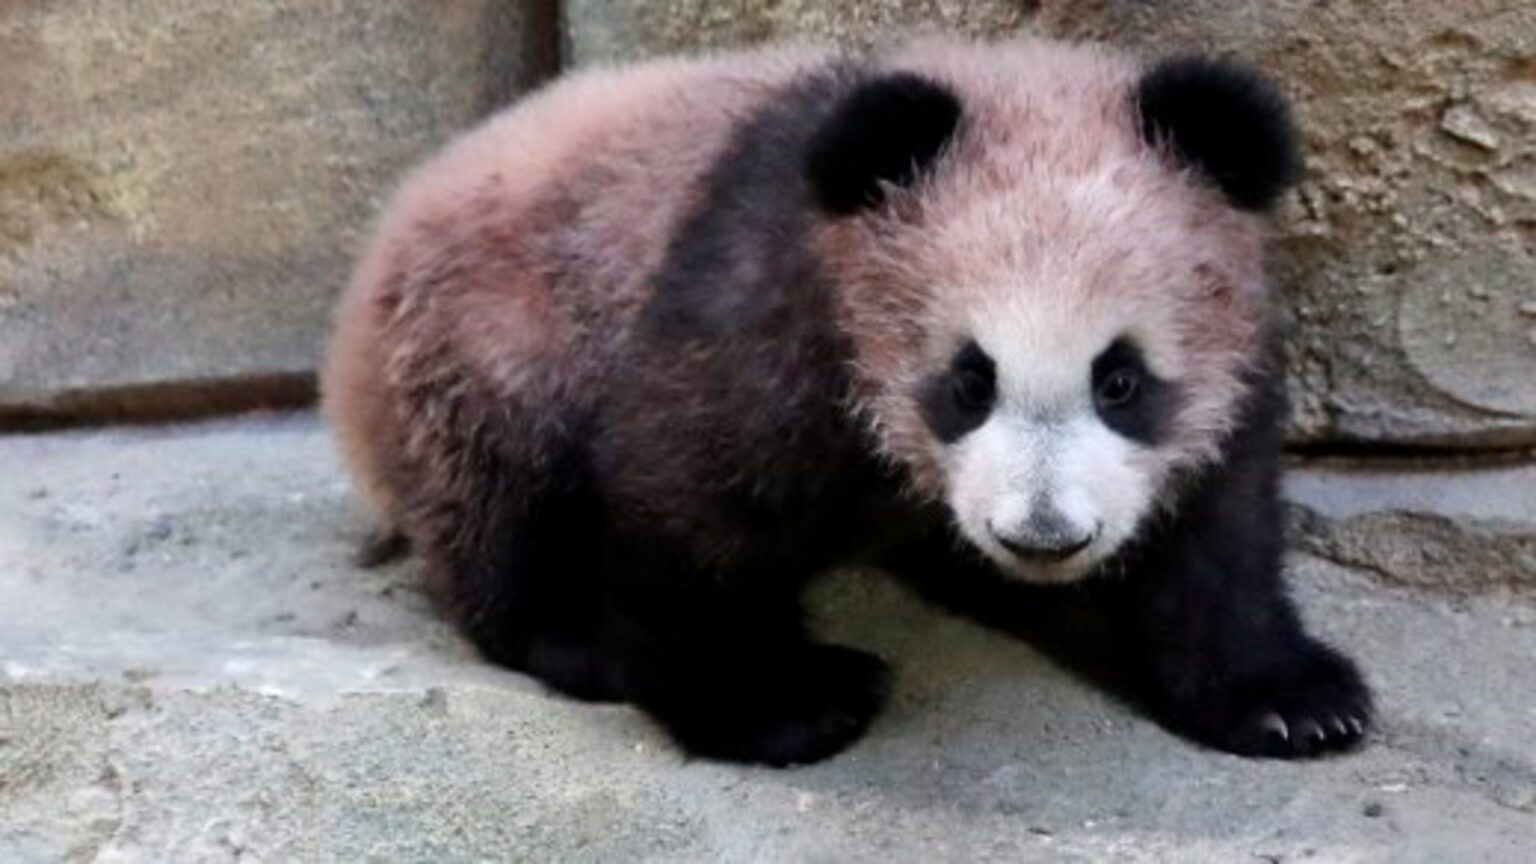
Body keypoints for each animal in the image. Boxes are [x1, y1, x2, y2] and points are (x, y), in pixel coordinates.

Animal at [323, 37, 1372, 766]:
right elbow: (692, 502)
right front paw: (778, 706)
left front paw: (1292, 703)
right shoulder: (769, 298)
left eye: (1119, 380)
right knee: (507, 499)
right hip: (493, 335)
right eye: (968, 380)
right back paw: (578, 634)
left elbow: (1215, 533)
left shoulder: (1226, 368)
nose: (1043, 537)